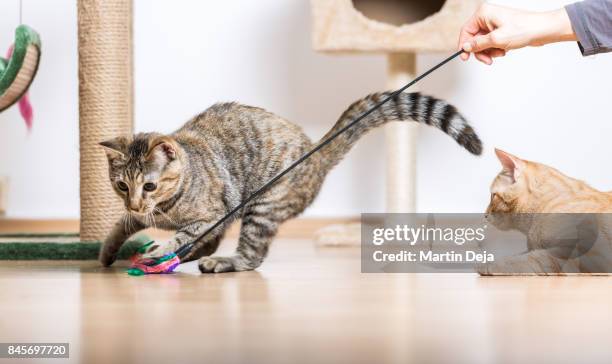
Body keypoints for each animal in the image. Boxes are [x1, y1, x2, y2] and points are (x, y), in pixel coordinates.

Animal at [99, 91, 482, 272]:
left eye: (149, 185)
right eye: (122, 186)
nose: (135, 202)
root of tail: (314, 151)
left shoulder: (209, 215)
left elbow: (183, 234)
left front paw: (159, 250)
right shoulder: (140, 215)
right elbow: (120, 225)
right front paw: (106, 252)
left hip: (261, 206)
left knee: (250, 256)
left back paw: (221, 262)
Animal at [482, 149, 612, 274]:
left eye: (493, 196)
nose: (485, 215)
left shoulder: (584, 257)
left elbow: (533, 259)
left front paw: (489, 265)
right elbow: (524, 255)